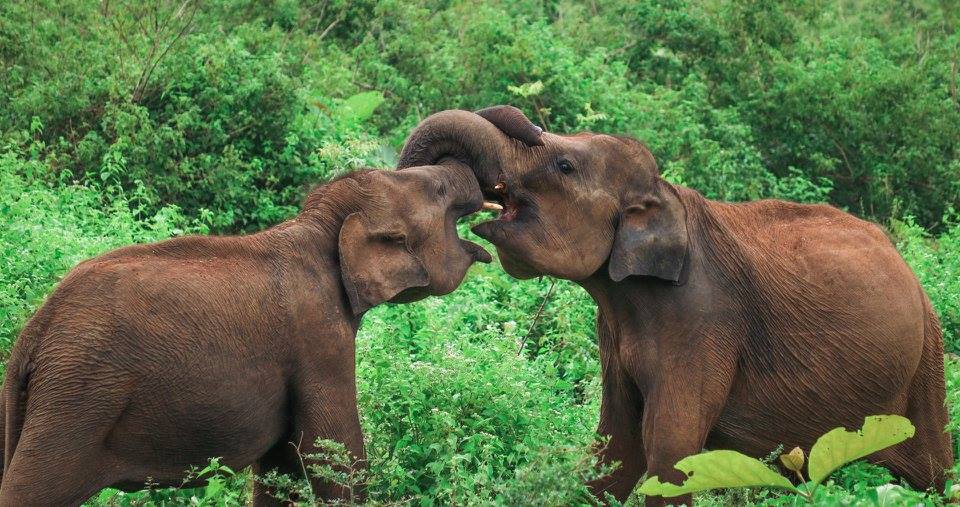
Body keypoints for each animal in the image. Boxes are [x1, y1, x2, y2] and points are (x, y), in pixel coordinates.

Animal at [0, 164, 492, 507]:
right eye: (439, 192)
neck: (317, 227)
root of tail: (37, 332)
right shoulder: (319, 336)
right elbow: (334, 458)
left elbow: (281, 469)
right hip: (77, 399)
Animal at [396, 105, 952, 506]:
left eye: (564, 165)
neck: (664, 197)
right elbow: (617, 445)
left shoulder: (701, 318)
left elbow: (671, 451)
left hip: (927, 358)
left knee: (936, 471)